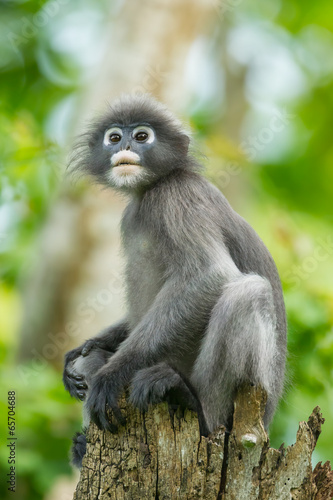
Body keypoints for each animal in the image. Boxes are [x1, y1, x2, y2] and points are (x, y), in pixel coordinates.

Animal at [62, 94, 286, 468]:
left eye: (141, 136)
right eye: (113, 137)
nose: (124, 146)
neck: (150, 191)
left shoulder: (179, 197)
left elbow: (209, 275)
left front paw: (112, 374)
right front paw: (85, 347)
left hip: (259, 393)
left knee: (246, 293)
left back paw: (196, 406)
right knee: (89, 361)